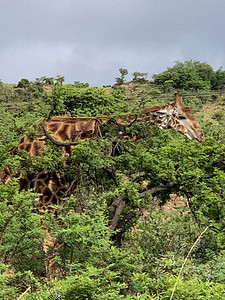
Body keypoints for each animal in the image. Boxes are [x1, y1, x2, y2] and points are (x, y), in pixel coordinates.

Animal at [0, 93, 204, 278]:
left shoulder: (62, 197)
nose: (200, 135)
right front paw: (53, 284)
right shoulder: (48, 199)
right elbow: (50, 243)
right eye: (181, 116)